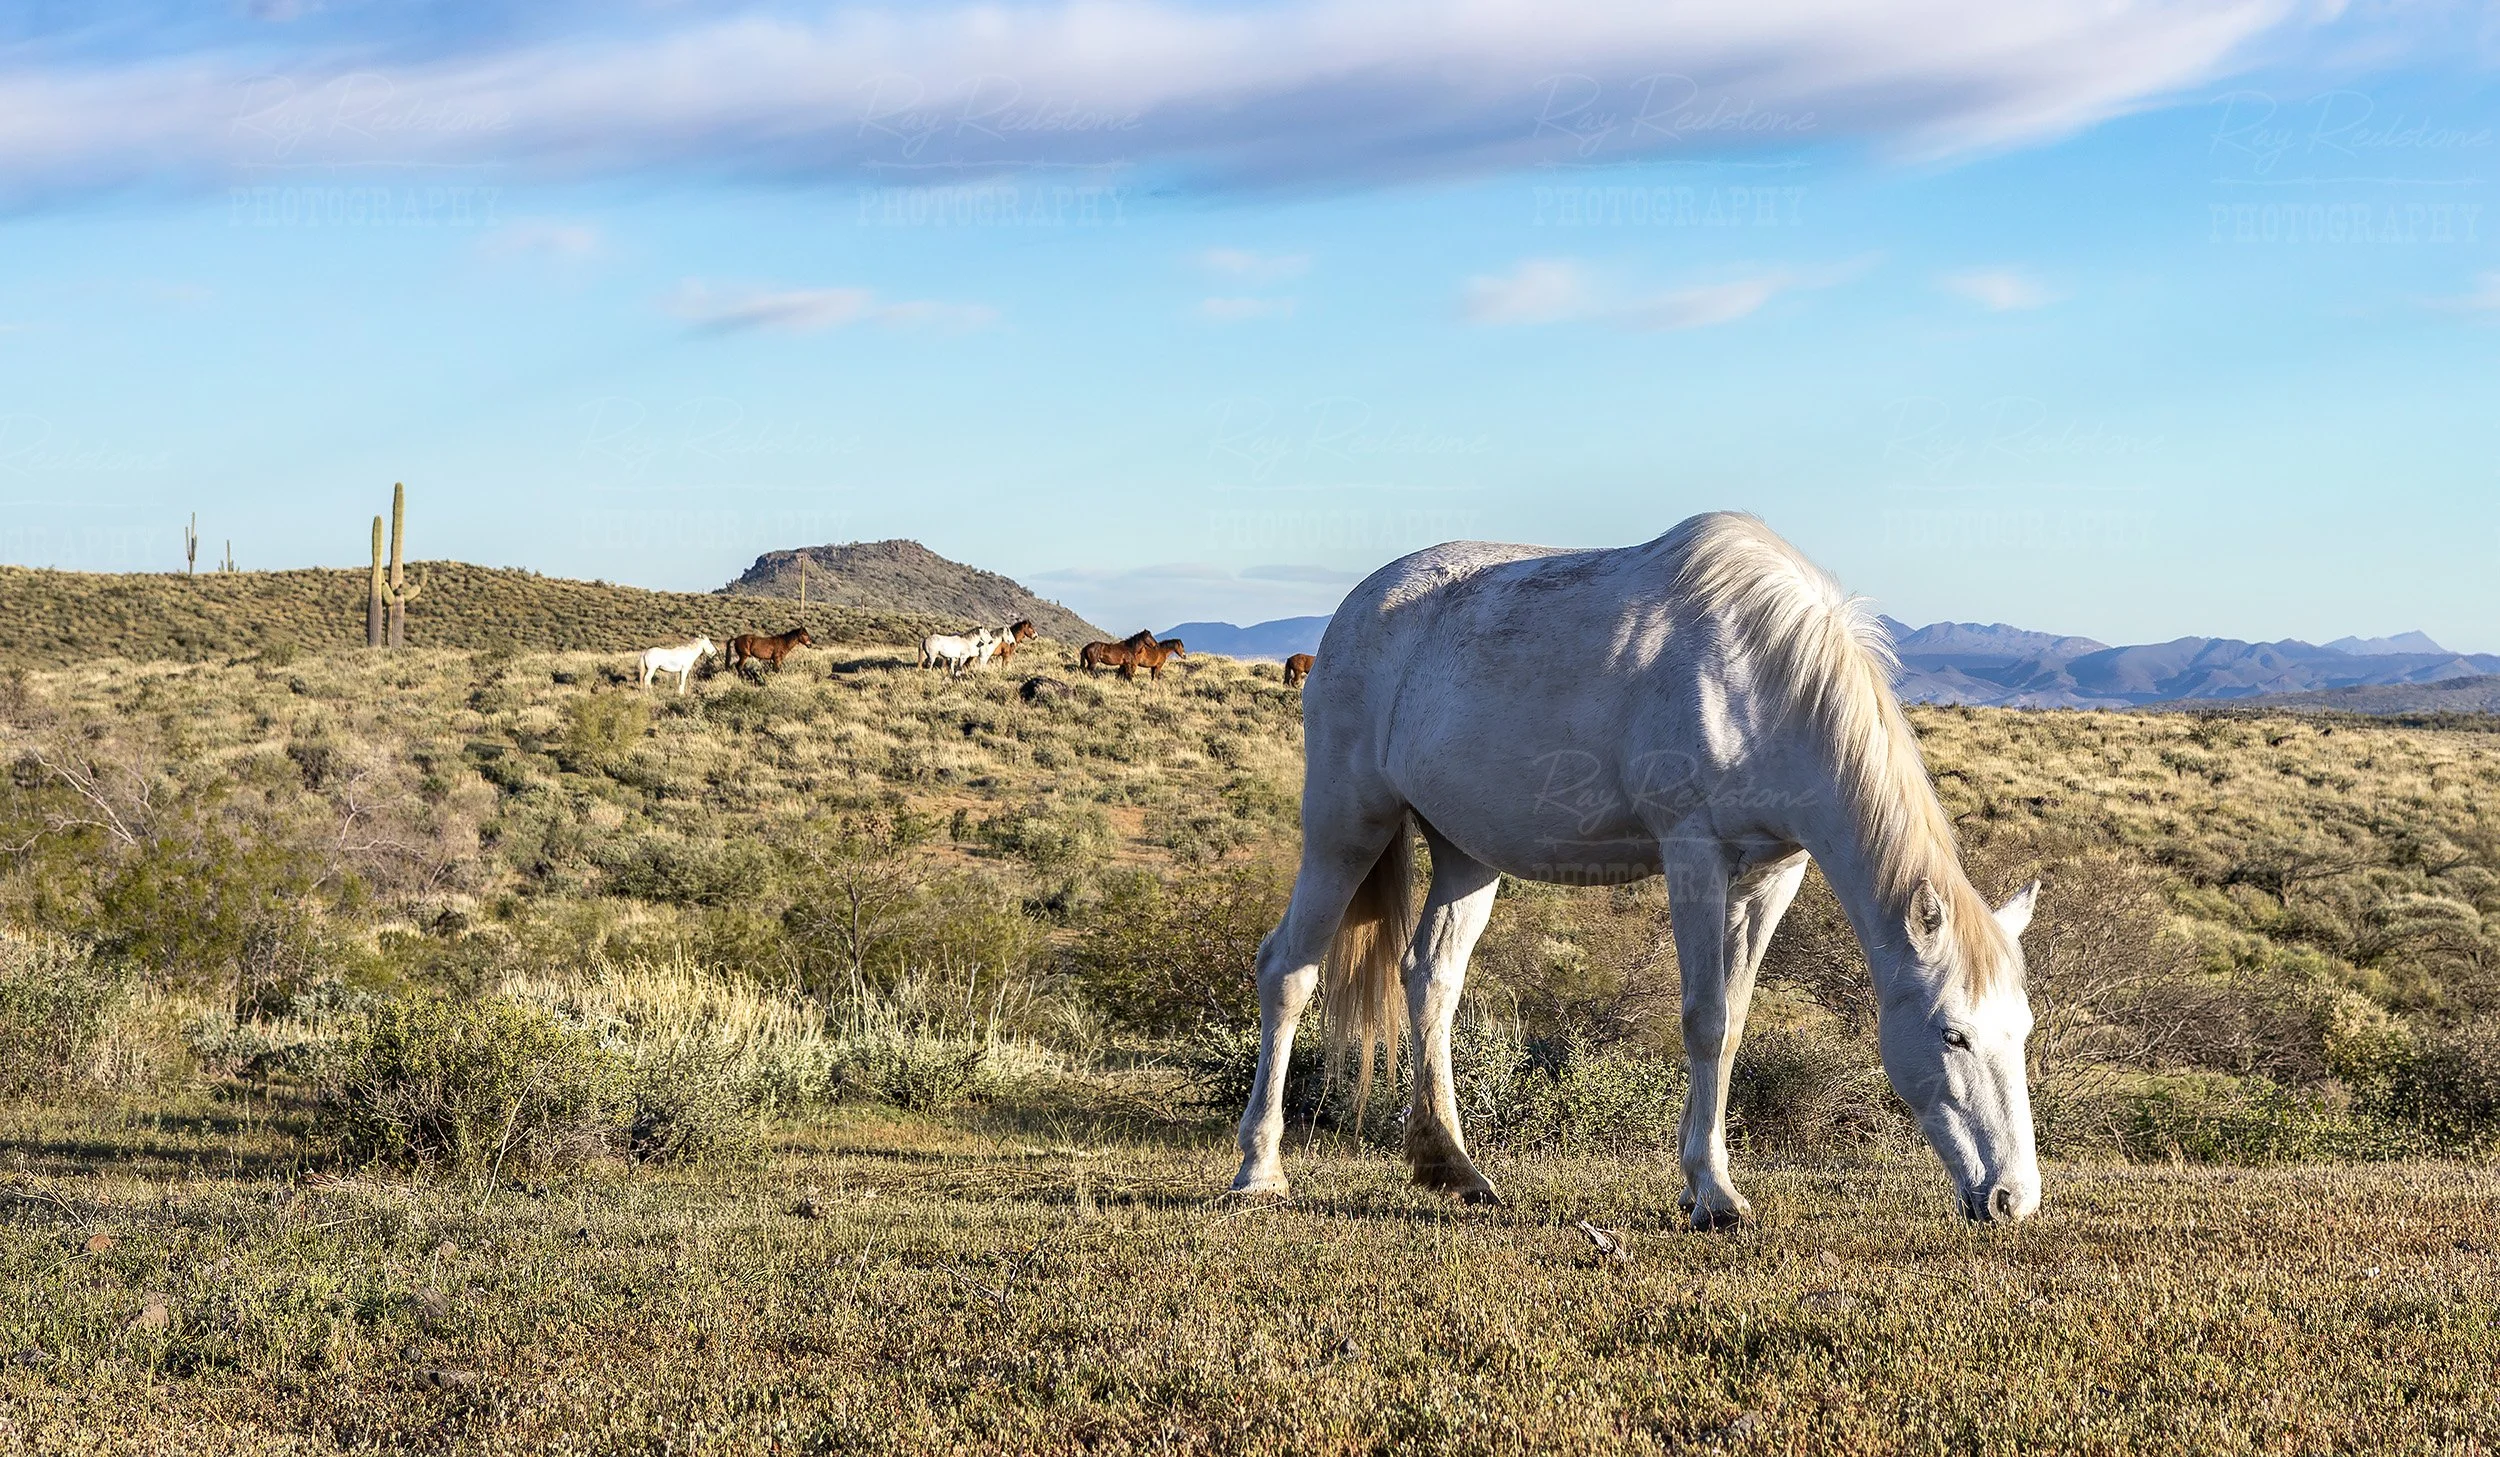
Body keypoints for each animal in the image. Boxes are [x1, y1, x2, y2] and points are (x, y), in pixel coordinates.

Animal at [1230, 514, 2043, 1228]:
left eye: (2023, 1031)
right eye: (1953, 1035)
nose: (2015, 1198)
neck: (1756, 677)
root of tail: (1354, 611)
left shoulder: (1774, 875)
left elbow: (1733, 1023)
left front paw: (1700, 1179)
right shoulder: (1693, 853)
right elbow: (1704, 1019)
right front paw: (1714, 1194)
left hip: (1465, 852)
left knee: (1431, 976)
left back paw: (1451, 1165)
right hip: (1345, 825)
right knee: (1288, 971)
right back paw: (1259, 1171)